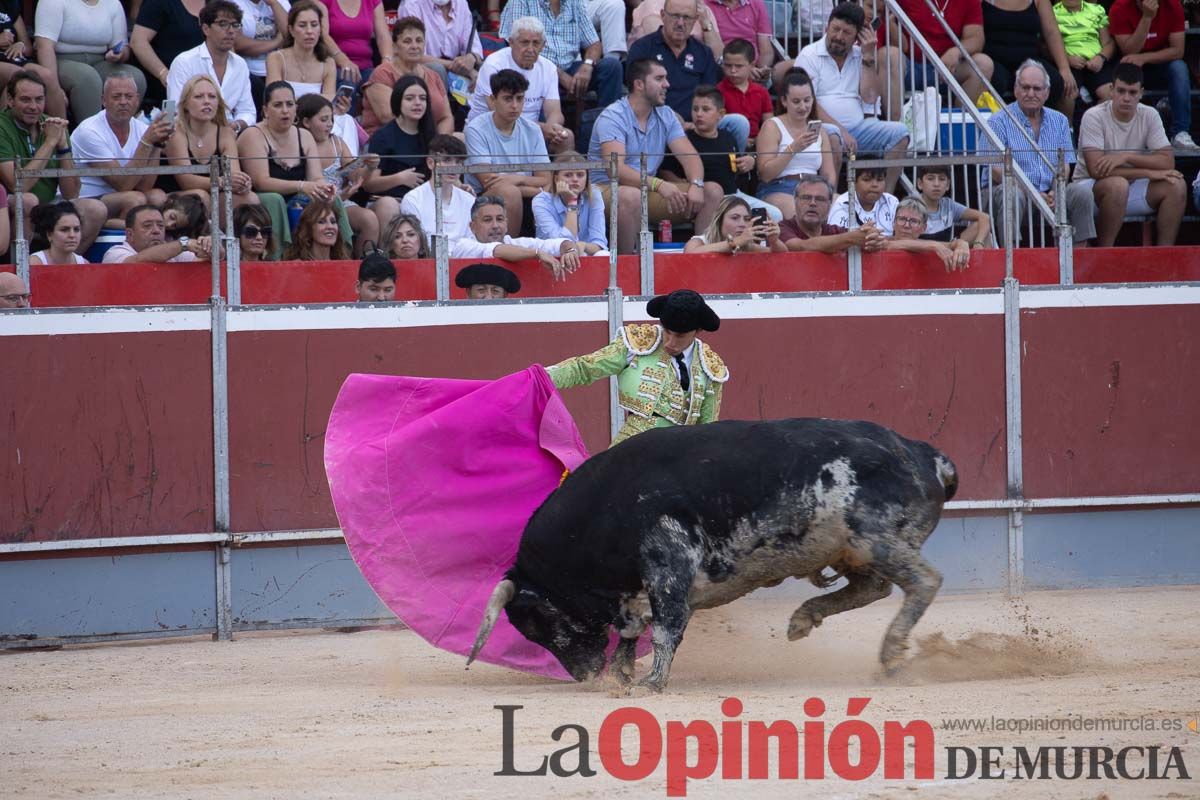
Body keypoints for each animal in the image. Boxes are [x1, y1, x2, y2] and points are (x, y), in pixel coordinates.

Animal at [465, 417, 955, 690]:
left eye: (538, 621)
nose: (586, 675)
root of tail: (924, 454)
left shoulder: (668, 562)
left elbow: (666, 628)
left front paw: (649, 683)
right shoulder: (636, 591)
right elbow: (630, 631)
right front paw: (622, 677)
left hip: (876, 539)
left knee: (923, 581)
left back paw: (891, 655)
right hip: (851, 550)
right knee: (872, 589)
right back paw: (804, 618)